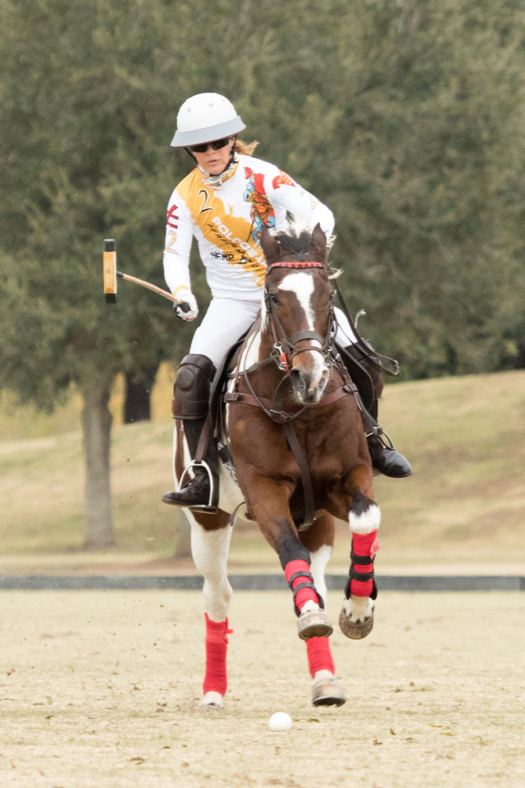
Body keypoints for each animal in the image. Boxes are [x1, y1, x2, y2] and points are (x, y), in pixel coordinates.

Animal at [172, 222, 380, 708]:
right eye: (273, 296)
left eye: (327, 292)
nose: (312, 377)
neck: (296, 408)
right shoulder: (264, 488)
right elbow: (289, 552)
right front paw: (319, 618)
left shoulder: (346, 479)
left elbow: (366, 520)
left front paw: (359, 610)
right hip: (207, 519)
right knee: (219, 596)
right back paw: (214, 691)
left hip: (315, 517)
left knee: (316, 580)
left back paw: (325, 678)